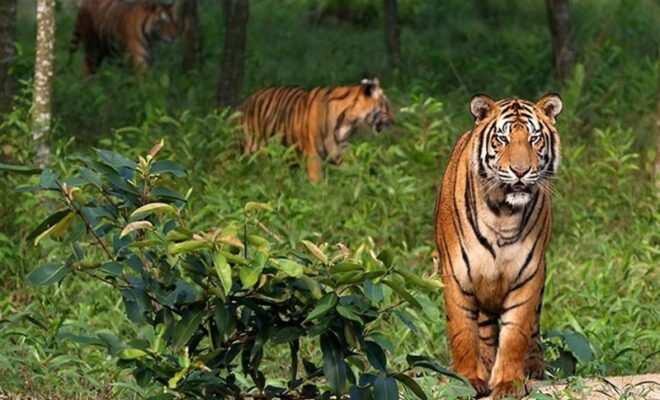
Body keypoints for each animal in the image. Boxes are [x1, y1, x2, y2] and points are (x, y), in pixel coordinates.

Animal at [238, 78, 395, 182]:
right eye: (386, 106)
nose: (395, 121)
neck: (349, 122)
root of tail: (244, 102)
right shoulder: (313, 157)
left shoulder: (340, 152)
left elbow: (355, 170)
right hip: (248, 149)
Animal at [434, 94, 563, 399]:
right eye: (502, 139)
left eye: (534, 138)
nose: (520, 171)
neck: (503, 213)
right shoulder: (457, 274)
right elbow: (462, 332)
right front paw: (466, 380)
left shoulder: (528, 275)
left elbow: (515, 334)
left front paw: (508, 384)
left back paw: (533, 366)